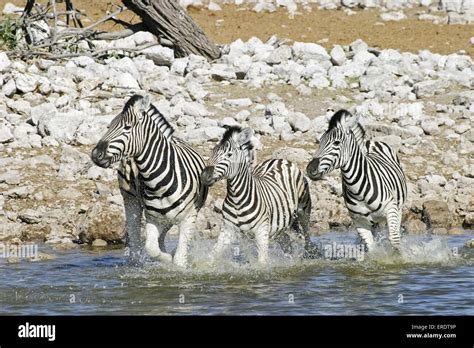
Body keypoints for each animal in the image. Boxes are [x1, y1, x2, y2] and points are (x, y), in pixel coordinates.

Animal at [90, 94, 207, 268]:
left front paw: (174, 262)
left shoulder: (189, 217)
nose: (95, 154)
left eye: (127, 127)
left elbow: (179, 258)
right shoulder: (152, 217)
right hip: (131, 201)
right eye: (108, 126)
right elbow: (152, 248)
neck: (161, 183)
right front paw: (166, 260)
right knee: (135, 238)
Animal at [200, 126, 318, 266]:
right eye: (212, 152)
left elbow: (262, 262)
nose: (204, 176)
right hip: (279, 227)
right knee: (287, 244)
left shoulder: (261, 231)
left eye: (229, 155)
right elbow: (212, 255)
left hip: (303, 210)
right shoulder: (228, 229)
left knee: (307, 235)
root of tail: (279, 160)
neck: (237, 199)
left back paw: (308, 255)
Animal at [308, 110, 408, 251]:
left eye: (336, 143)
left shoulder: (391, 209)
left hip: (398, 209)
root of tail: (370, 142)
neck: (358, 189)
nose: (310, 169)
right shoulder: (359, 221)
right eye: (320, 141)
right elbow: (371, 249)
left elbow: (394, 242)